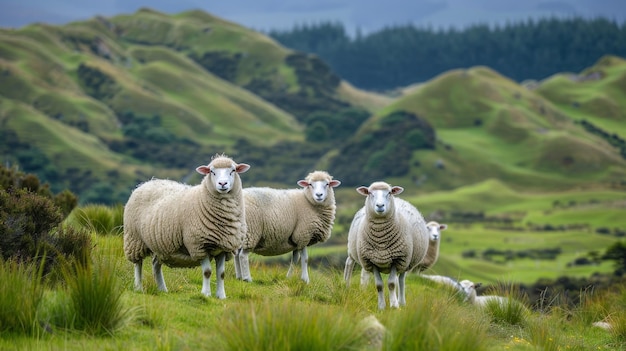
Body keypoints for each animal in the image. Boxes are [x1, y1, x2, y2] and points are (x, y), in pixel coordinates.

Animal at [122, 154, 249, 300]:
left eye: (233, 170)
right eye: (212, 172)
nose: (222, 184)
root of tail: (146, 183)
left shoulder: (223, 247)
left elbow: (221, 274)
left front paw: (221, 296)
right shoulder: (198, 245)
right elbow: (207, 272)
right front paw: (205, 294)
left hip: (160, 245)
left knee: (155, 265)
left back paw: (162, 289)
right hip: (135, 239)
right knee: (138, 264)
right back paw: (138, 287)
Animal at [342, 182, 428, 310]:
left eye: (389, 193)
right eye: (370, 193)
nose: (380, 205)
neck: (381, 240)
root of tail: (400, 199)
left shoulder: (397, 260)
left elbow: (392, 284)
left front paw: (394, 306)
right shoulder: (371, 261)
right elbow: (379, 285)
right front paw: (381, 307)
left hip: (406, 262)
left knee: (401, 280)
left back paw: (401, 302)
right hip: (353, 251)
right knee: (349, 263)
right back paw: (346, 285)